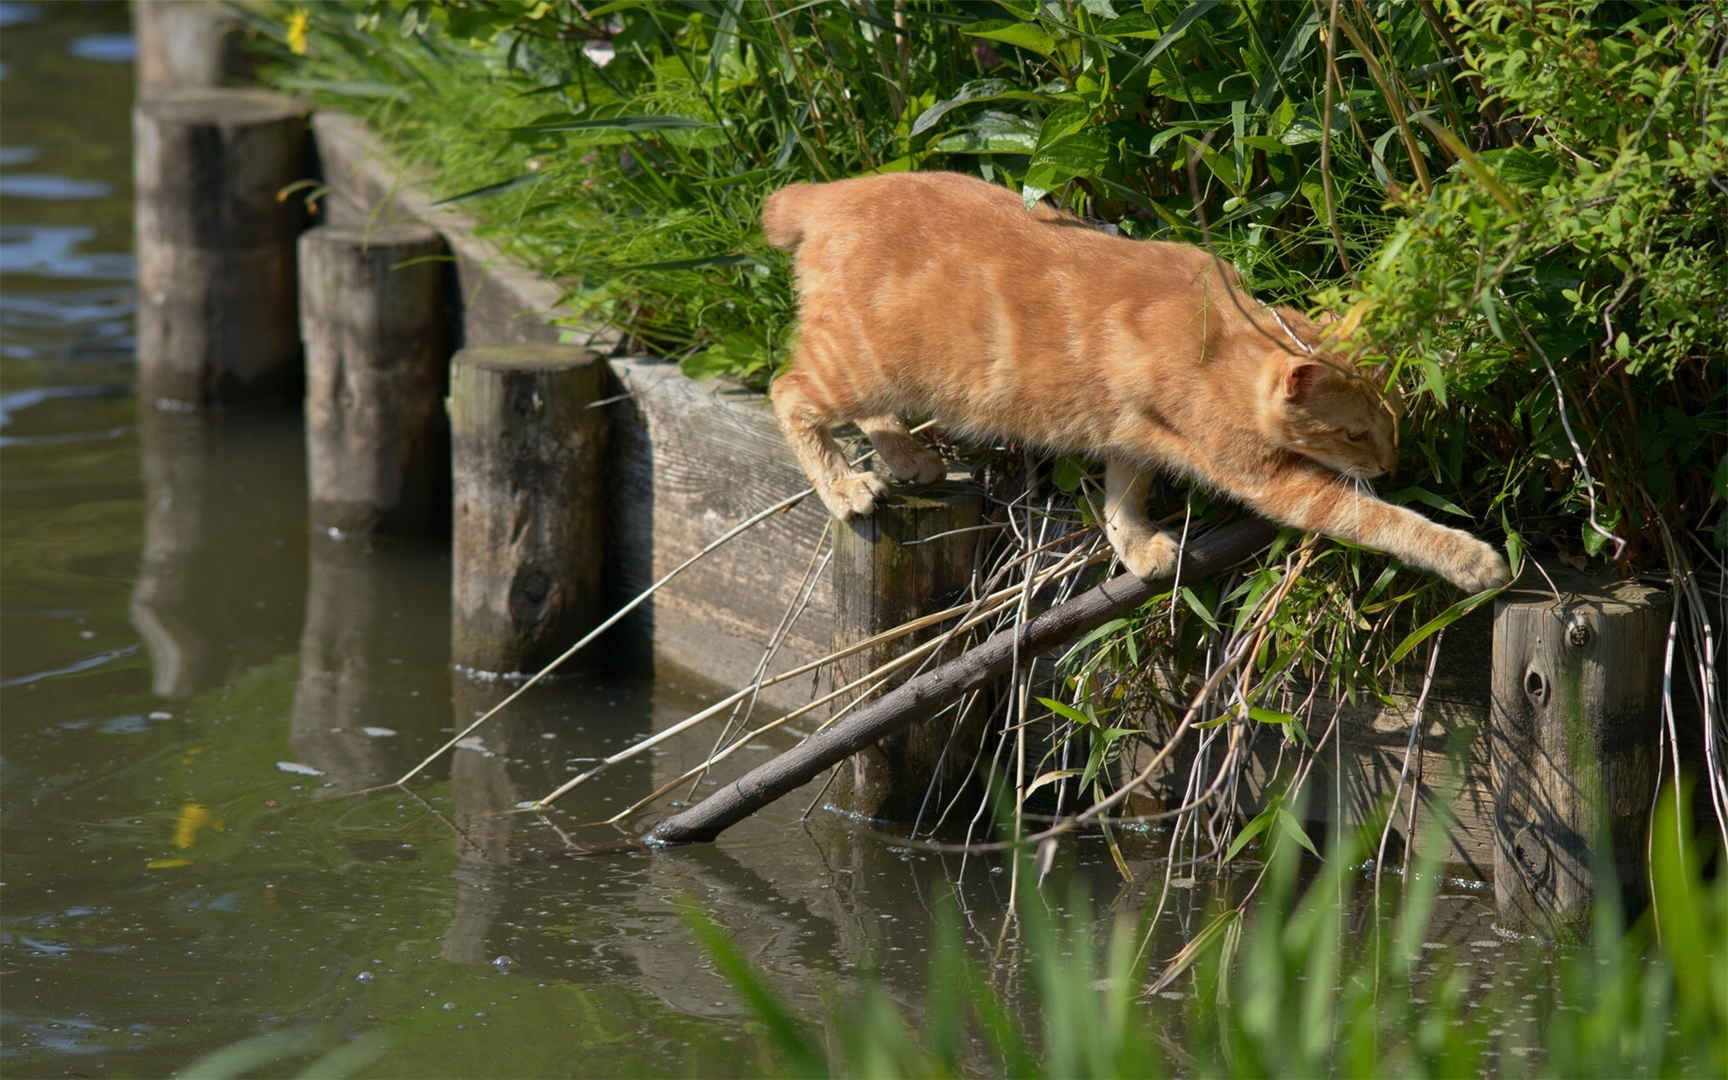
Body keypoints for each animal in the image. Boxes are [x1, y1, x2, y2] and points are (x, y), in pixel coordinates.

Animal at [770, 170, 1513, 590]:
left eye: (1391, 421)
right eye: (1354, 435)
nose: (1390, 464)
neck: (1220, 333)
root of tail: (826, 193)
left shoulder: (1128, 430)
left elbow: (1124, 493)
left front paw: (1134, 546)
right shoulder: (1270, 480)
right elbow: (1380, 520)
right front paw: (1469, 558)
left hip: (892, 380)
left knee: (867, 411)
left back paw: (906, 456)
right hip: (861, 364)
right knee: (790, 392)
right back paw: (843, 485)